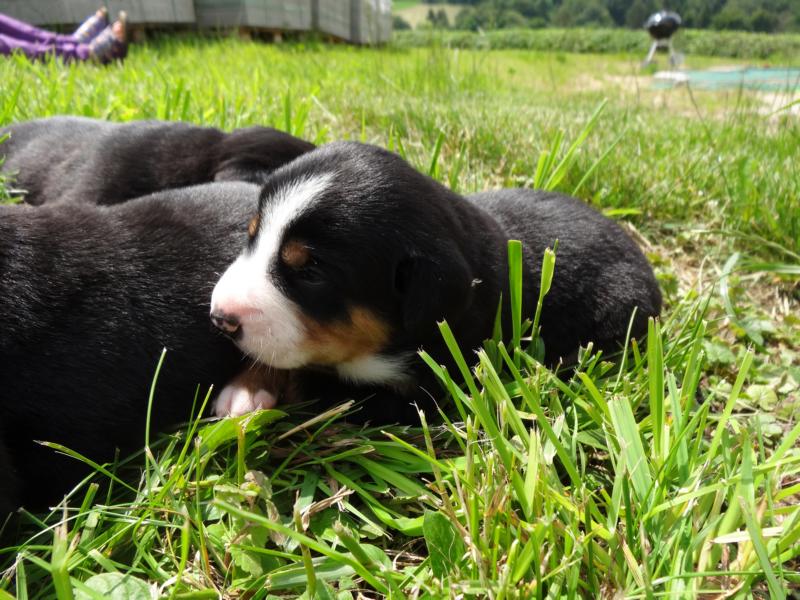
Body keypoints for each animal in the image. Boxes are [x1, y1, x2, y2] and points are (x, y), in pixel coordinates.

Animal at [210, 142, 663, 422]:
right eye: (251, 236)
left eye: (312, 273)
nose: (220, 318)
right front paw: (249, 384)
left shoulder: (420, 394)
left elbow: (314, 380)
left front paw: (254, 389)